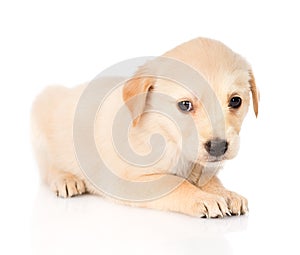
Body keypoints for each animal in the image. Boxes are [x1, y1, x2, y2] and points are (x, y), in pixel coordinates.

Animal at [31, 37, 258, 217]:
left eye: (235, 101)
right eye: (185, 105)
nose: (218, 147)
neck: (164, 133)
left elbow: (211, 181)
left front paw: (226, 194)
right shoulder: (128, 181)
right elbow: (173, 183)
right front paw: (204, 198)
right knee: (48, 168)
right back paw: (66, 179)